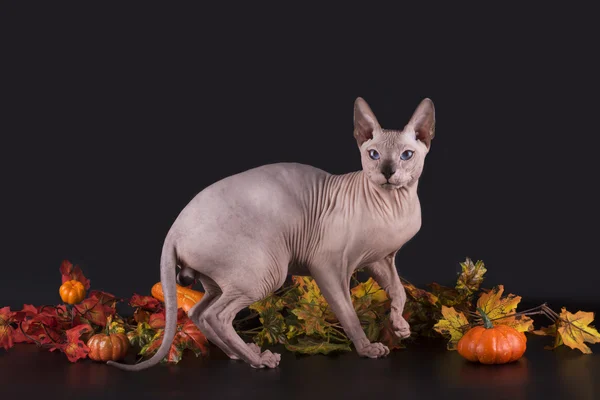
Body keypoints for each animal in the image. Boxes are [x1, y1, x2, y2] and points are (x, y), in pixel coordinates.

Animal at [109, 96, 436, 368]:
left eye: (407, 155)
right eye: (373, 154)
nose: (387, 172)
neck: (393, 205)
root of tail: (173, 231)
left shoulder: (381, 258)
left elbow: (399, 290)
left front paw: (400, 325)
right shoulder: (327, 265)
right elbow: (348, 311)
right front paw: (367, 348)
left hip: (220, 281)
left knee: (197, 312)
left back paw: (240, 354)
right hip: (267, 270)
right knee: (218, 315)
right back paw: (258, 360)